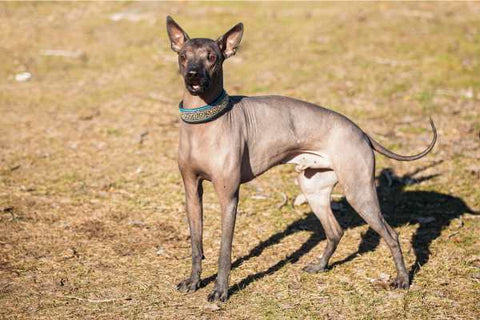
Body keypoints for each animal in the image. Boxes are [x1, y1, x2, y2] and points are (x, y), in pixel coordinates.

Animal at [166, 16, 438, 302]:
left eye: (211, 57)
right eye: (183, 56)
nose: (193, 74)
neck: (203, 121)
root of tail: (361, 131)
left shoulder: (228, 197)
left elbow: (224, 250)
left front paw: (220, 290)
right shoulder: (192, 192)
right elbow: (196, 244)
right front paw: (194, 281)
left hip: (359, 192)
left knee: (392, 234)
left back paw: (403, 279)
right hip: (313, 189)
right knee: (335, 230)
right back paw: (320, 266)